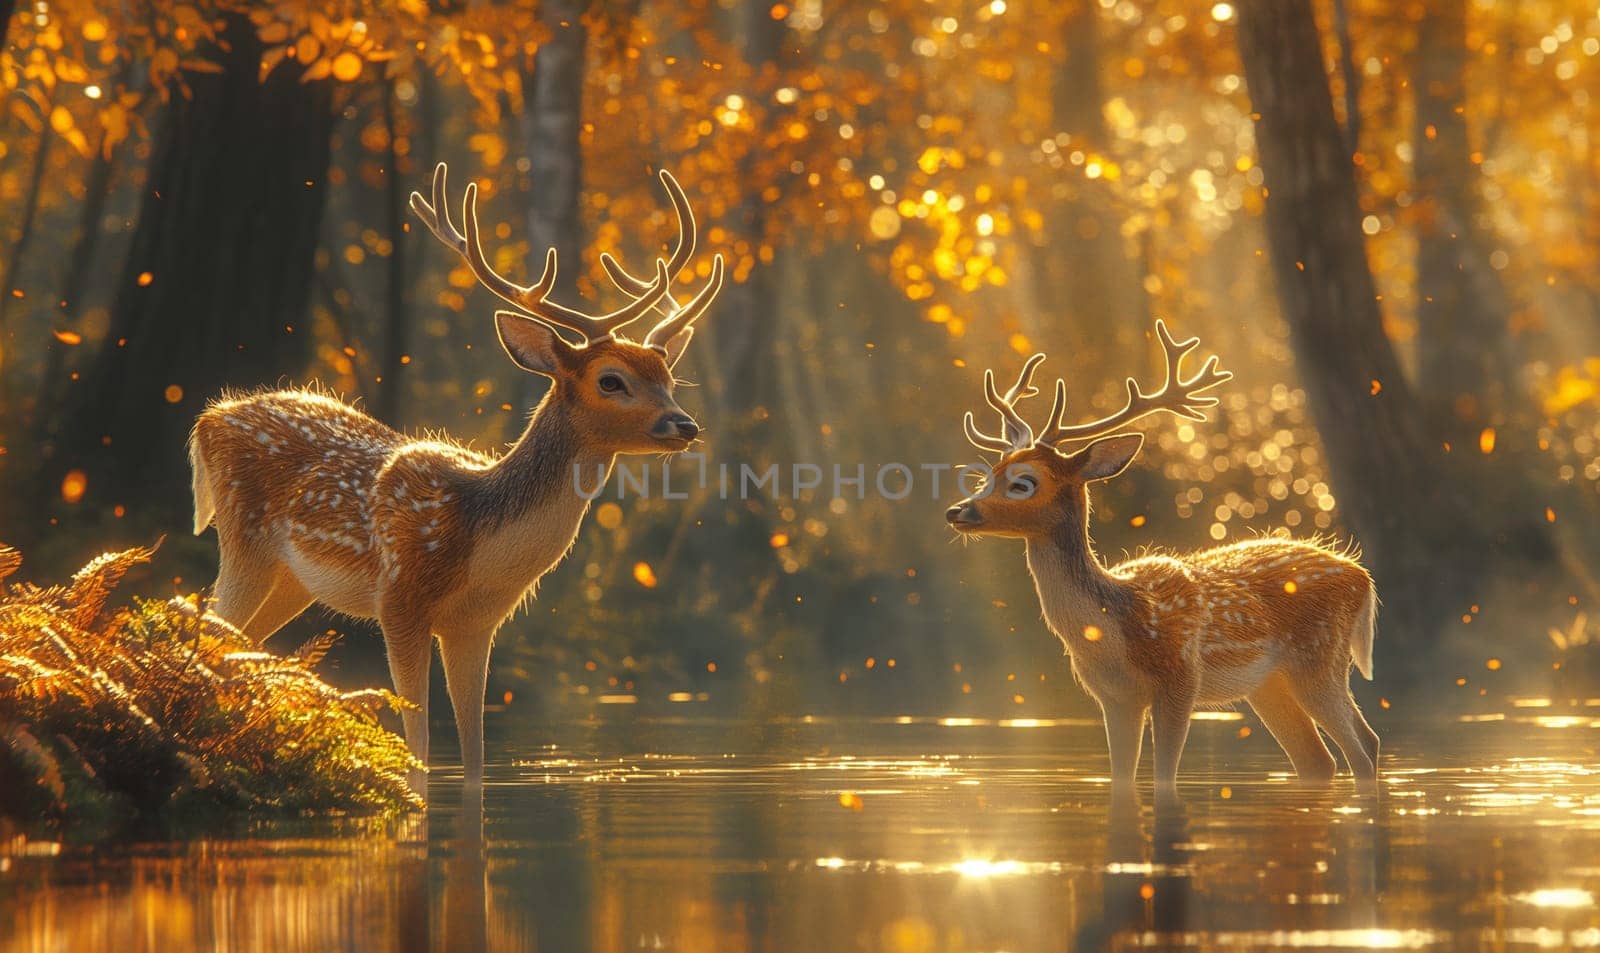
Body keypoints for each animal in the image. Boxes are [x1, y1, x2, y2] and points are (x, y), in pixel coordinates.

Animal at [185, 162, 726, 789]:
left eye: (669, 376)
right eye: (611, 380)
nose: (684, 424)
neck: (478, 540)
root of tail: (207, 419)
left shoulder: (477, 625)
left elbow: (474, 761)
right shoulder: (400, 600)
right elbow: (419, 752)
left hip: (292, 581)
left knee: (233, 643)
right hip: (243, 539)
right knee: (204, 629)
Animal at [940, 321, 1382, 802]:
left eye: (1023, 482)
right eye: (989, 473)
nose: (958, 511)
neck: (1115, 628)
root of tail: (1363, 576)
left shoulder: (1179, 679)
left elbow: (1164, 778)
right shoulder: (1114, 697)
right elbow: (1122, 777)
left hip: (1318, 656)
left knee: (1362, 748)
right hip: (1269, 684)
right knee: (1322, 759)